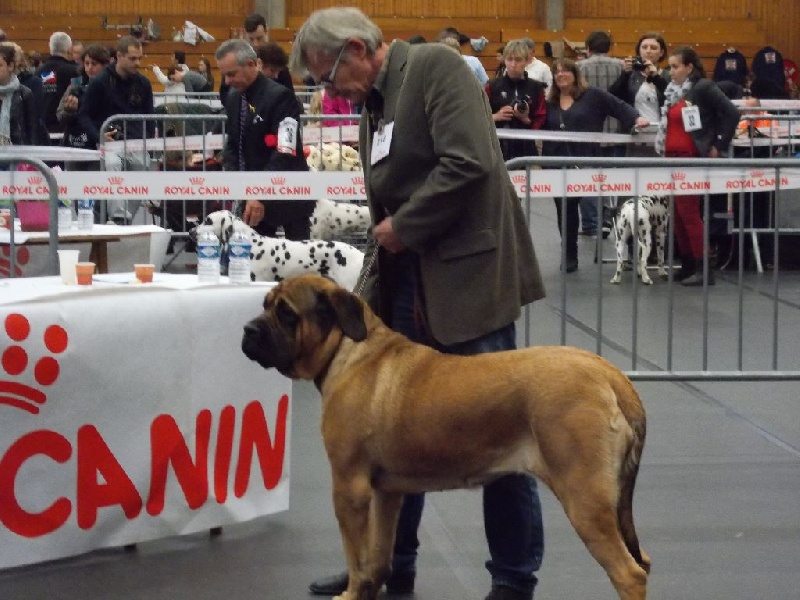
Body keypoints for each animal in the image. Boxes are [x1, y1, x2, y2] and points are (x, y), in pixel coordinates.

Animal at [242, 274, 650, 600]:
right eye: (265, 304)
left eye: (286, 312)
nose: (248, 330)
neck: (347, 348)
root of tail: (611, 373)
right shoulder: (387, 492)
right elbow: (377, 558)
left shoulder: (349, 487)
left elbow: (356, 558)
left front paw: (350, 594)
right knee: (641, 561)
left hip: (585, 498)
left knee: (629, 573)